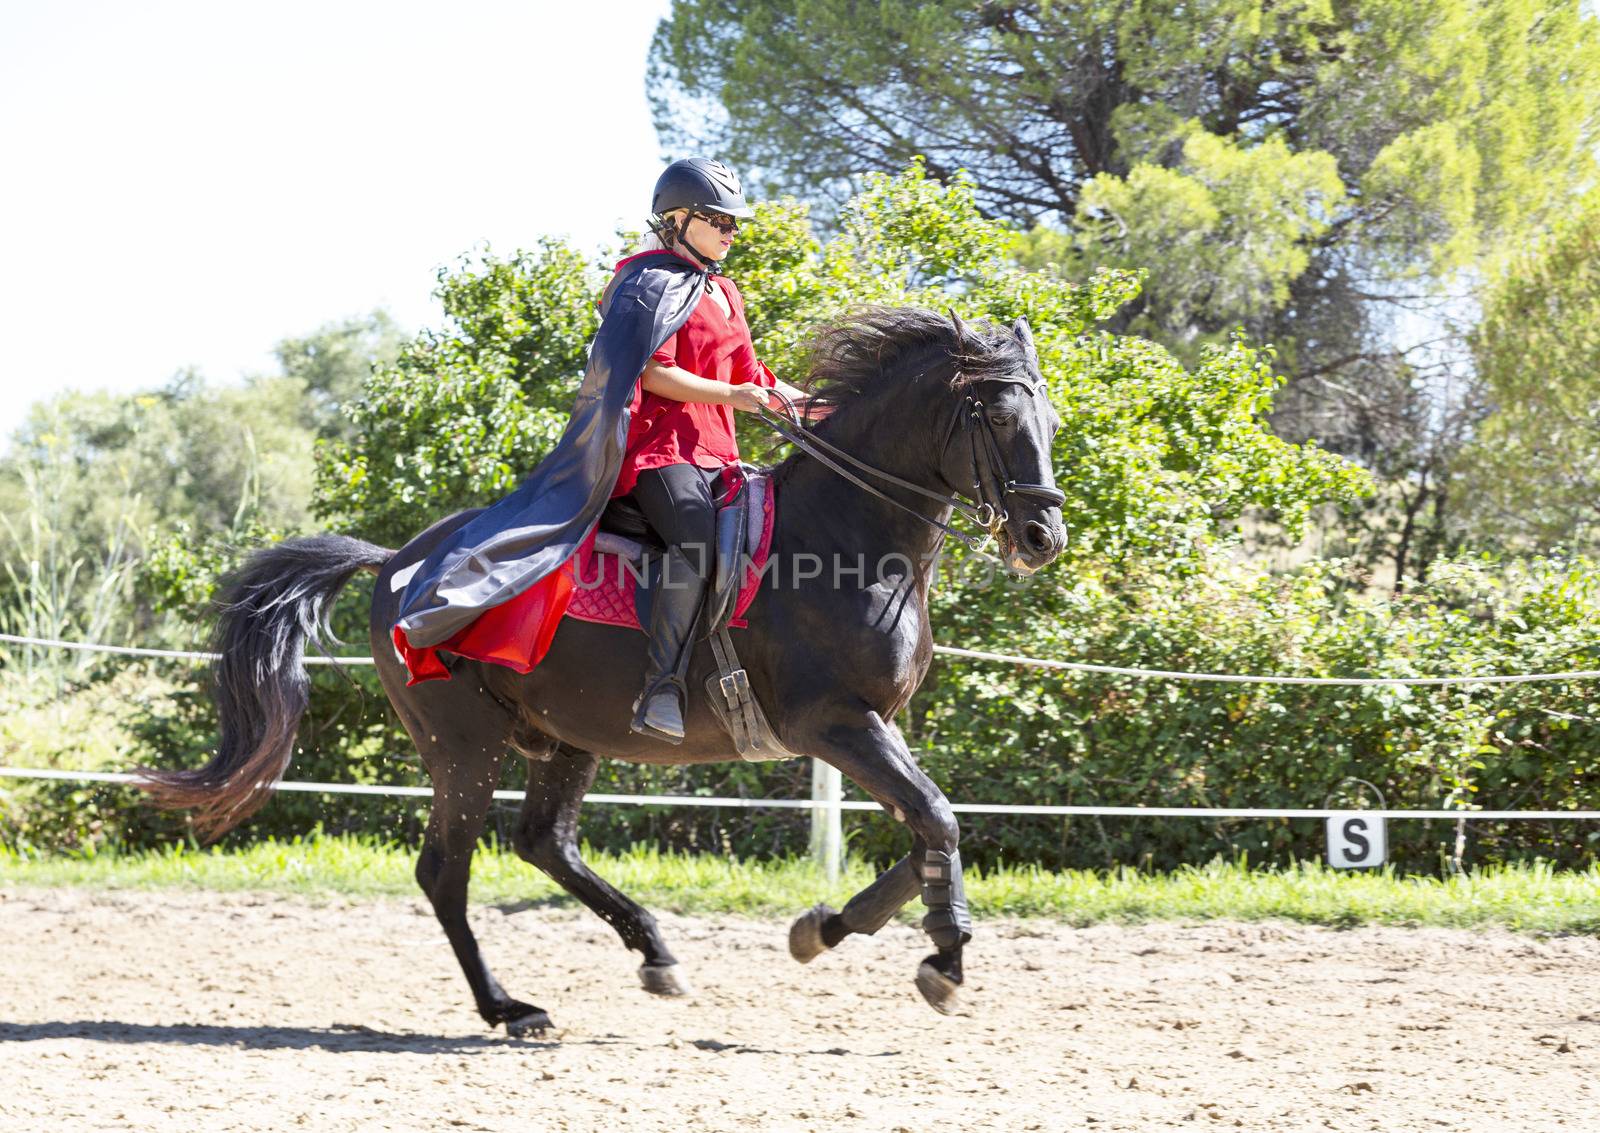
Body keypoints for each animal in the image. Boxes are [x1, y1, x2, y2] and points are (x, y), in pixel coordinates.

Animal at [137, 307, 1062, 1036]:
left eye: (1047, 417)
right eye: (994, 414)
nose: (1041, 536)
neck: (843, 539)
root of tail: (398, 560)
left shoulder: (872, 725)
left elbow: (928, 833)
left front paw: (831, 927)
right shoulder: (832, 724)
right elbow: (937, 820)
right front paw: (945, 961)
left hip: (566, 734)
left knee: (544, 841)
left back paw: (654, 953)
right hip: (463, 746)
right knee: (446, 871)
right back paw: (509, 1008)